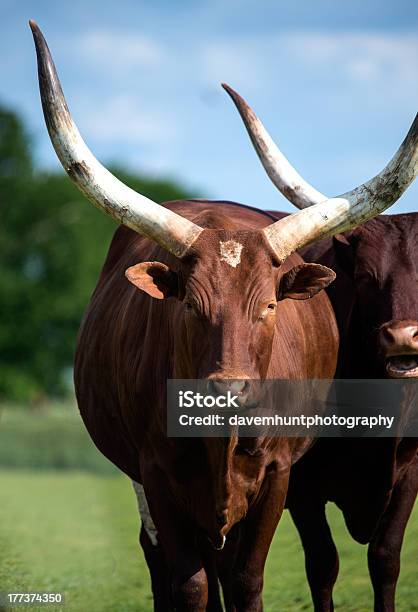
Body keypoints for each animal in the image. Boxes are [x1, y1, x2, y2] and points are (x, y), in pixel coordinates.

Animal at [31, 21, 418, 608]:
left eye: (270, 305)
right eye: (191, 305)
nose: (228, 391)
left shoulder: (285, 477)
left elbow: (257, 578)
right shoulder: (157, 475)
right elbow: (190, 583)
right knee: (162, 563)